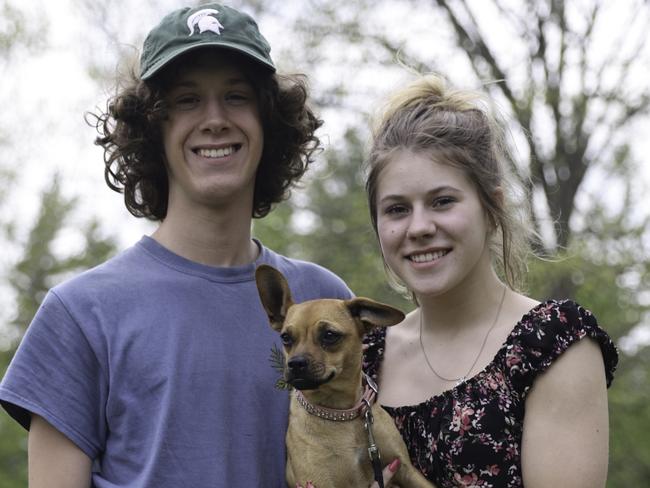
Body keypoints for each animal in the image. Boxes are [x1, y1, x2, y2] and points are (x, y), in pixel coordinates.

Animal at [256, 266, 432, 488]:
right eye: (286, 338)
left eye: (330, 335)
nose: (295, 363)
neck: (340, 413)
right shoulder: (317, 481)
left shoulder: (406, 470)